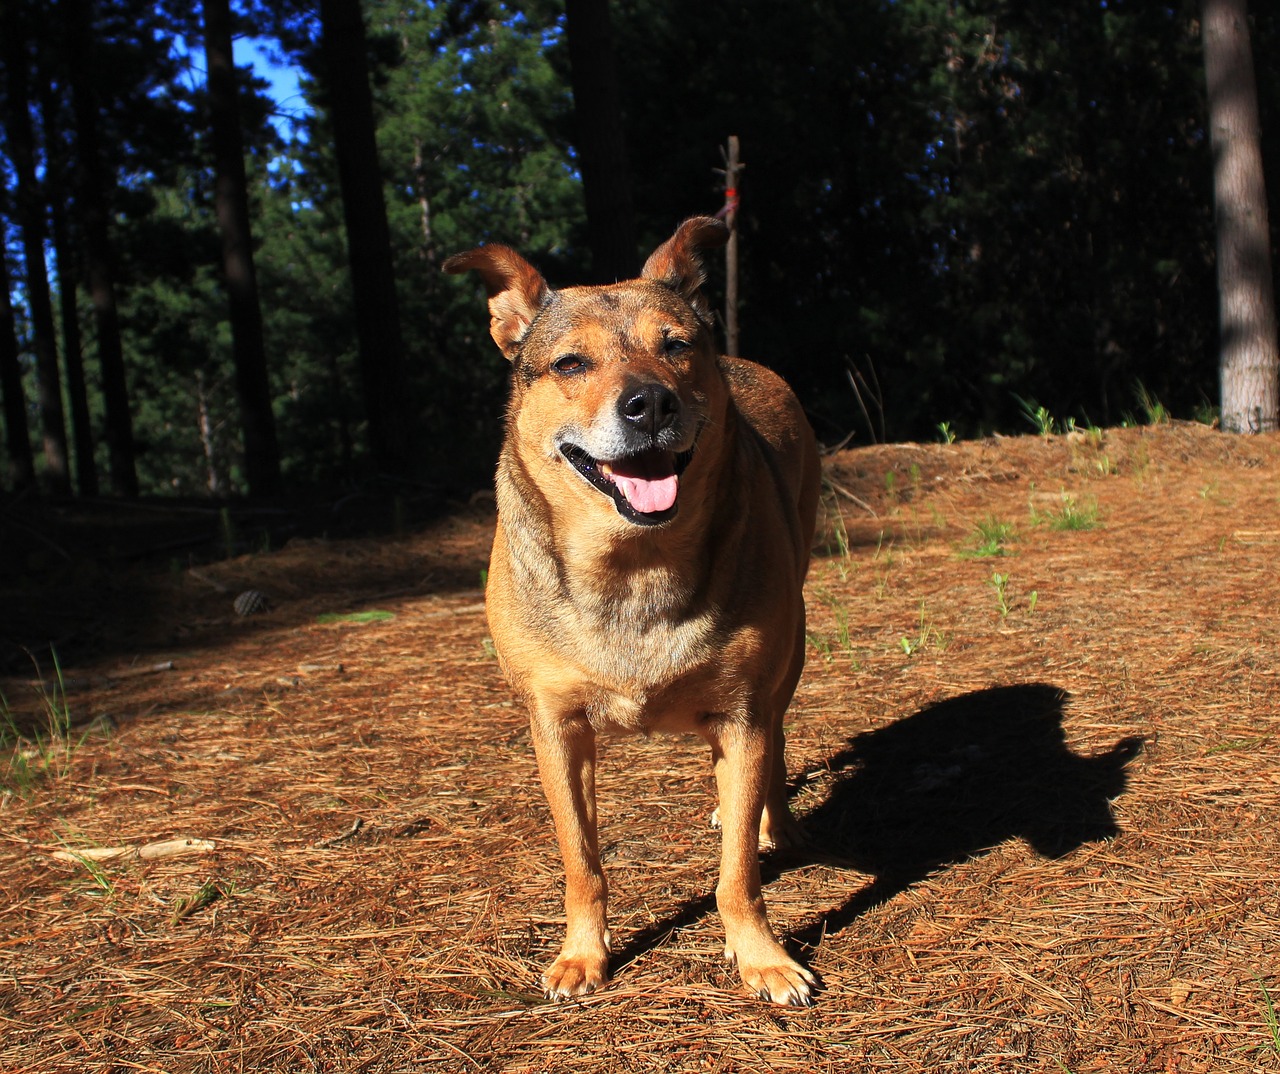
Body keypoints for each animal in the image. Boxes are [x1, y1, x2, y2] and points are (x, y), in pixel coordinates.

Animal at [440, 218, 819, 1008]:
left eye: (675, 345)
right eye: (570, 363)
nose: (650, 403)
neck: (634, 565)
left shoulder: (743, 707)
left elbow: (737, 869)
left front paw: (761, 956)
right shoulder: (555, 726)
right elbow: (581, 858)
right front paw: (583, 955)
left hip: (788, 655)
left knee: (774, 740)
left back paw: (771, 816)